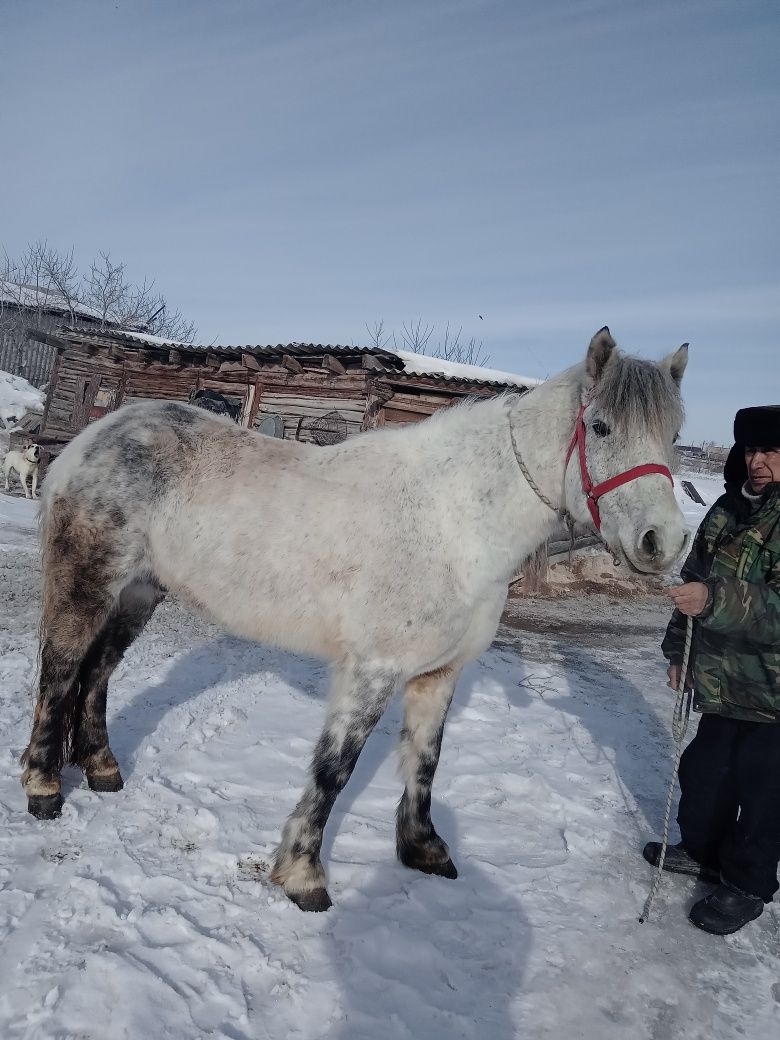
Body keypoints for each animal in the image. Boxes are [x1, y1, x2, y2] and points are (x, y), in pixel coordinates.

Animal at [19, 326, 690, 911]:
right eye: (600, 427)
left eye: (674, 435)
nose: (662, 542)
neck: (454, 522)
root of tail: (98, 434)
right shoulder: (372, 669)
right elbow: (335, 769)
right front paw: (302, 877)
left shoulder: (439, 674)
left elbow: (425, 760)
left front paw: (423, 851)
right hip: (86, 584)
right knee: (60, 670)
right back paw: (44, 789)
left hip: (139, 593)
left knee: (97, 672)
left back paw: (102, 770)